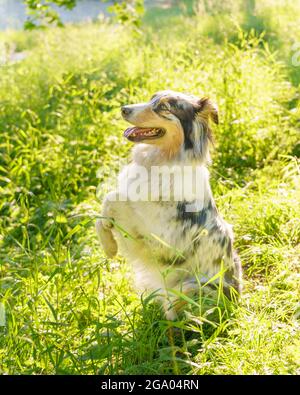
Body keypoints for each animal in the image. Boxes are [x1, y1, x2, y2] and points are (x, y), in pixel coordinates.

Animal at [97, 91, 243, 320]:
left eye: (164, 107)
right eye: (151, 99)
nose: (123, 109)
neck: (159, 162)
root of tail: (235, 304)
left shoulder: (159, 243)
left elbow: (116, 198)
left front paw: (110, 245)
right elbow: (107, 204)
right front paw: (108, 245)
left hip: (195, 287)